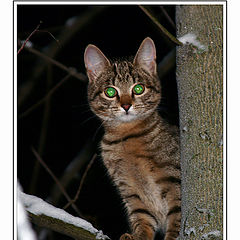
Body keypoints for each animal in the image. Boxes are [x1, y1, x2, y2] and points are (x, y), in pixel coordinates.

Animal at [84, 38, 180, 240]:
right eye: (110, 92)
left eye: (138, 88)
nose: (126, 105)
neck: (127, 137)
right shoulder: (131, 192)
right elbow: (142, 220)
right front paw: (137, 235)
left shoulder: (174, 179)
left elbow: (176, 216)